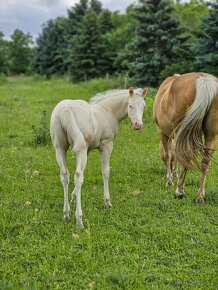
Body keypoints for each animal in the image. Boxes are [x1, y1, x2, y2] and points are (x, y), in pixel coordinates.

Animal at [50, 87, 147, 228]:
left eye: (144, 106)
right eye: (130, 105)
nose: (138, 125)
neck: (107, 111)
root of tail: (66, 109)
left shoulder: (88, 149)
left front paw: (73, 198)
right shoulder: (106, 145)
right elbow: (105, 172)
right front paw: (107, 202)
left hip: (60, 148)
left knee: (65, 175)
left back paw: (66, 215)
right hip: (79, 149)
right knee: (78, 176)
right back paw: (79, 220)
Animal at [154, 72, 217, 203]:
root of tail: (204, 79)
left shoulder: (162, 133)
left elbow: (168, 155)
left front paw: (169, 180)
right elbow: (174, 155)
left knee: (184, 156)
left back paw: (180, 191)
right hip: (211, 136)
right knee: (205, 162)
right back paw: (200, 196)